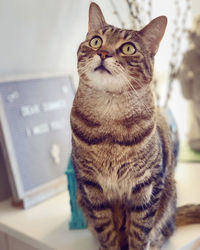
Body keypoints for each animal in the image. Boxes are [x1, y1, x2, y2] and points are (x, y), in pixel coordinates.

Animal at [70, 2, 200, 250]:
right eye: (96, 41)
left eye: (128, 48)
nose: (103, 53)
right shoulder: (91, 187)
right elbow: (106, 232)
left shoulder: (147, 186)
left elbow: (140, 233)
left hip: (168, 196)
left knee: (163, 231)